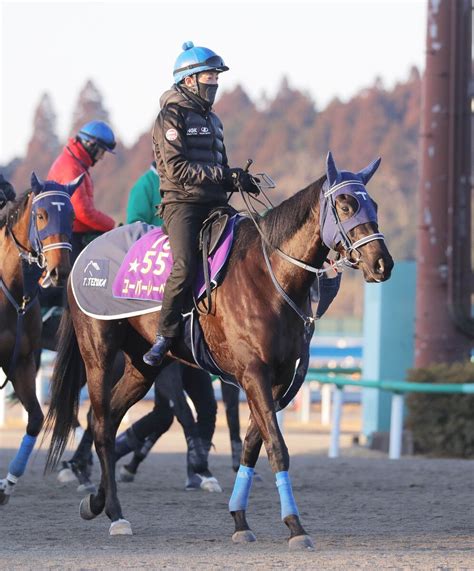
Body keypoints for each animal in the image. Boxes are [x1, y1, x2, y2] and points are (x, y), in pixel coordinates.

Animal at [45, 154, 392, 548]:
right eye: (346, 204)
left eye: (373, 204)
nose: (382, 263)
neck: (269, 276)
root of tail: (85, 256)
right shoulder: (254, 374)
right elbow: (276, 447)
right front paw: (295, 525)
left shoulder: (279, 380)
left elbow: (252, 445)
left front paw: (240, 519)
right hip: (100, 354)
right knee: (102, 422)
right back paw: (116, 513)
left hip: (142, 366)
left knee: (108, 418)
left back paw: (97, 501)